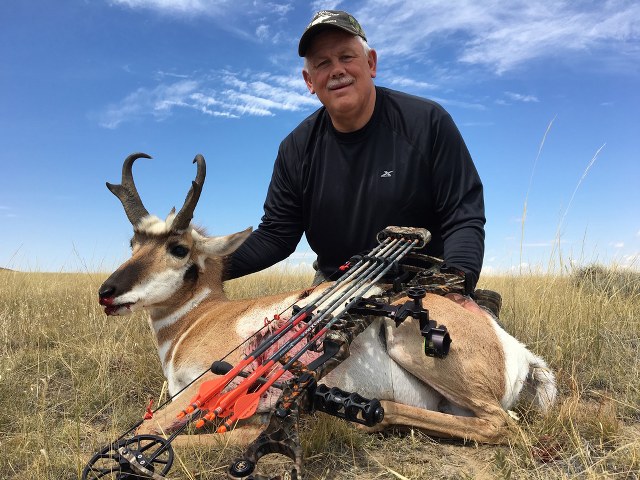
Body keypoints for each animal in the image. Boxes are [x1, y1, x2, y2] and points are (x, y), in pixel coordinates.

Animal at [99, 152, 556, 444]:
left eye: (178, 248)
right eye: (133, 243)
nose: (107, 293)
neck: (199, 319)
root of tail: (514, 347)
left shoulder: (206, 386)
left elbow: (145, 432)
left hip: (410, 341)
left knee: (501, 423)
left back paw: (371, 417)